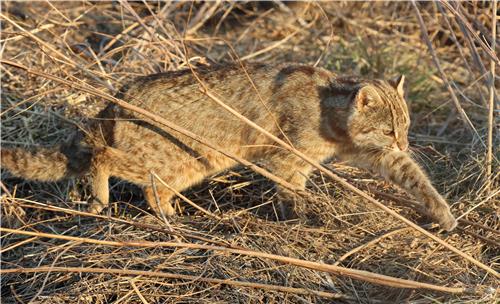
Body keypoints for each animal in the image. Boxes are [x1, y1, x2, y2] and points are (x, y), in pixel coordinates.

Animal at [0, 63, 458, 230]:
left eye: (405, 127)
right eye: (389, 130)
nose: (405, 141)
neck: (333, 116)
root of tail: (116, 99)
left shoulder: (372, 155)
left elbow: (414, 177)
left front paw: (443, 214)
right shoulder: (283, 158)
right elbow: (294, 190)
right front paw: (304, 214)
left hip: (183, 165)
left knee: (151, 189)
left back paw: (172, 215)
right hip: (182, 159)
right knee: (107, 160)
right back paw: (105, 197)